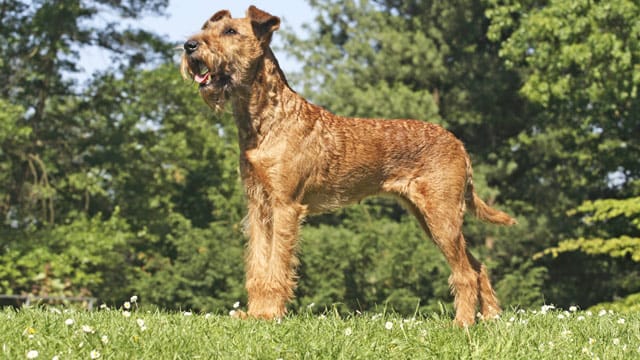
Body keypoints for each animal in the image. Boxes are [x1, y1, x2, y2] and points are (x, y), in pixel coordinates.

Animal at [180, 5, 516, 326]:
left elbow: (277, 265)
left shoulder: (285, 205)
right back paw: (491, 317)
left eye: (230, 31)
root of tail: (459, 144)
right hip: (431, 217)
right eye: (208, 27)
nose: (189, 45)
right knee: (478, 265)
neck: (267, 119)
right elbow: (258, 265)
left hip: (441, 216)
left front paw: (270, 314)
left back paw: (462, 323)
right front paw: (255, 314)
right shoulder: (258, 204)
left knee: (465, 272)